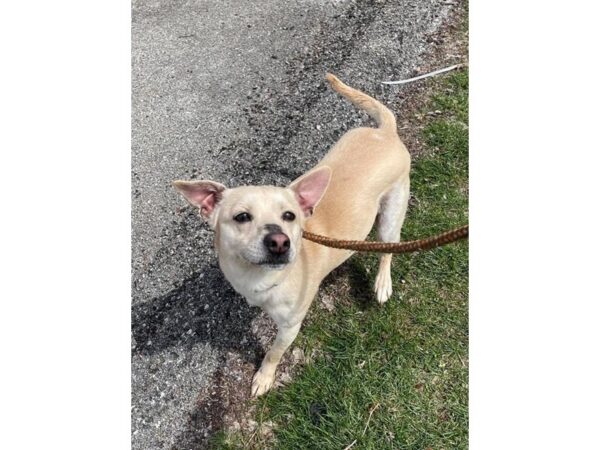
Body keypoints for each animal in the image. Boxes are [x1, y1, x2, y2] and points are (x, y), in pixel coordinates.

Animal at [171, 74, 410, 398]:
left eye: (289, 216)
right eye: (242, 217)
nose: (279, 241)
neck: (260, 277)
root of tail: (386, 133)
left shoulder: (289, 327)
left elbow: (274, 352)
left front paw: (264, 377)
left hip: (390, 216)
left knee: (388, 249)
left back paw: (382, 283)